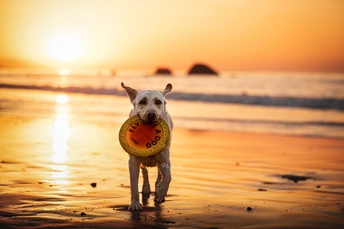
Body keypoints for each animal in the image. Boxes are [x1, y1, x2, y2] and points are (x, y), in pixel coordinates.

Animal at [121, 82, 175, 211]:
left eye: (158, 102)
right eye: (142, 101)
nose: (151, 114)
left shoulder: (165, 160)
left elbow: (167, 177)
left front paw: (160, 192)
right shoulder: (133, 162)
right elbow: (134, 184)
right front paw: (135, 204)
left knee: (159, 175)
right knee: (144, 170)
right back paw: (146, 188)